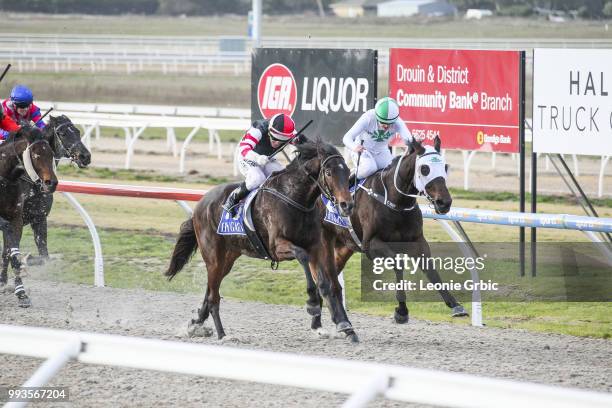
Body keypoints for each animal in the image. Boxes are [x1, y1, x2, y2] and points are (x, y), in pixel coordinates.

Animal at [0, 126, 58, 306]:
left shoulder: (18, 219)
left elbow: (12, 254)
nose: (51, 183)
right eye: (36, 155)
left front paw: (21, 293)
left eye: (51, 154)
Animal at [17, 115, 91, 264]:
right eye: (62, 134)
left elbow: (44, 256)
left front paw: (27, 258)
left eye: (77, 131)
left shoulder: (39, 218)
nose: (85, 156)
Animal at [167, 140, 358, 342]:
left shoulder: (317, 246)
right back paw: (222, 334)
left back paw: (195, 324)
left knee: (210, 290)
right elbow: (302, 256)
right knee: (213, 296)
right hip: (213, 257)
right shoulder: (277, 246)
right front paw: (312, 303)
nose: (347, 205)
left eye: (347, 171)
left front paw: (344, 326)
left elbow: (326, 283)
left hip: (228, 258)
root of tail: (201, 204)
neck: (294, 198)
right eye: (328, 172)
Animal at [306, 137, 468, 332]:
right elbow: (398, 265)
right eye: (424, 168)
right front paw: (402, 311)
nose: (444, 202)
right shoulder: (372, 245)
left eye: (445, 166)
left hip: (344, 247)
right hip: (323, 242)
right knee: (322, 277)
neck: (395, 201)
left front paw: (455, 305)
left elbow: (430, 269)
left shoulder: (417, 242)